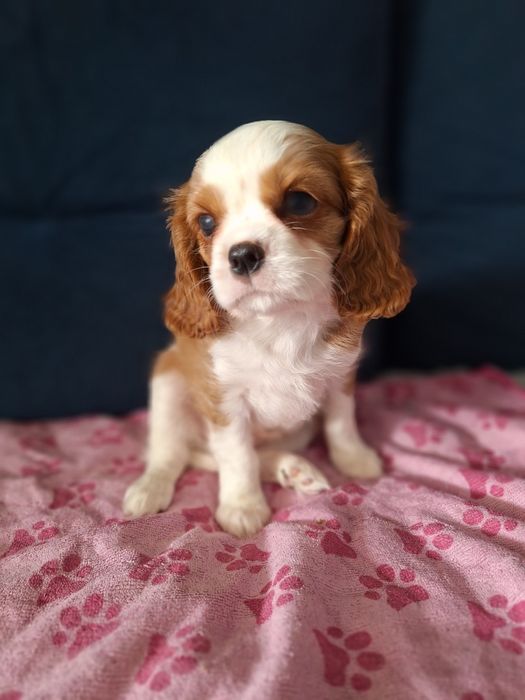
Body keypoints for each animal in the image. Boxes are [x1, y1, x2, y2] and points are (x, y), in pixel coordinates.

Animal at [123, 120, 414, 537]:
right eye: (207, 223)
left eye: (300, 202)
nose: (242, 255)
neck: (280, 318)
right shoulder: (223, 400)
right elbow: (237, 455)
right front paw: (242, 507)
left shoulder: (340, 377)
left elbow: (341, 423)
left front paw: (354, 459)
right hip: (169, 383)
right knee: (173, 453)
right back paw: (150, 488)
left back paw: (293, 469)